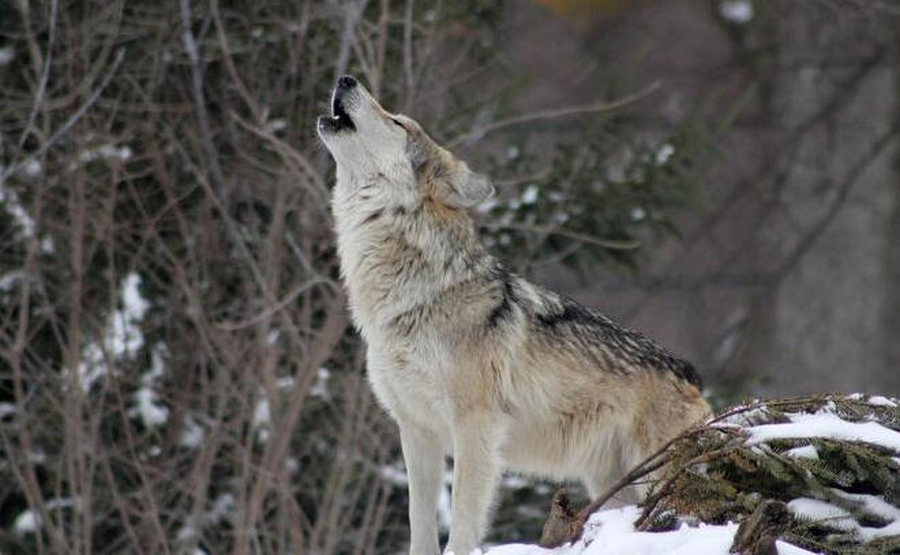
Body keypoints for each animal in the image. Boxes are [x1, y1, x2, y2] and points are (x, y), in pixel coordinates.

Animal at [316, 75, 712, 555]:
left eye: (397, 121)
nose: (346, 78)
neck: (411, 296)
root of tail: (690, 373)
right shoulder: (416, 431)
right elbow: (420, 525)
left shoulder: (475, 426)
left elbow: (463, 521)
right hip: (612, 483)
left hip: (653, 476)